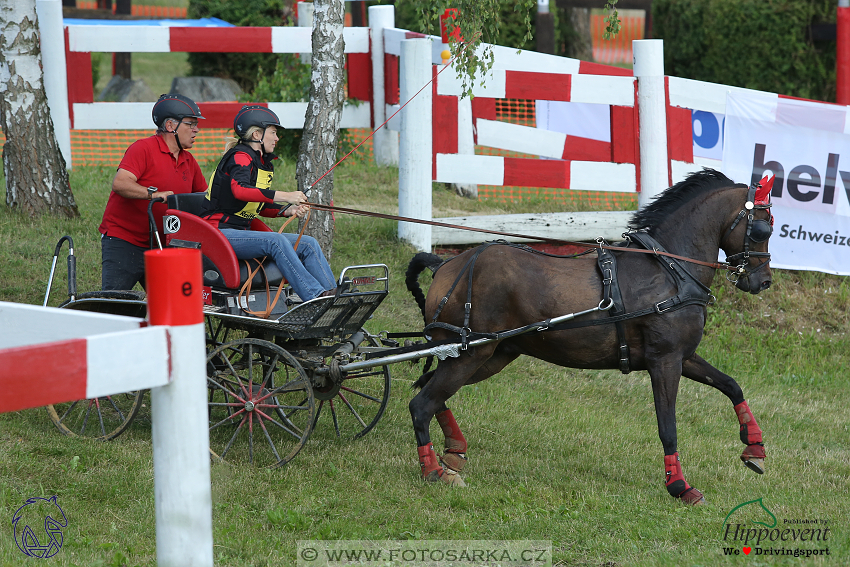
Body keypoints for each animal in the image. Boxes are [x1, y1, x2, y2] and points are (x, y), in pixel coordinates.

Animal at [408, 169, 772, 506]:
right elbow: (668, 427)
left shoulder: (683, 356)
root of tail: (446, 265)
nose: (763, 281)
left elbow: (731, 385)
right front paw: (680, 486)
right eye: (763, 228)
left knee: (429, 388)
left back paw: (453, 452)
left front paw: (754, 445)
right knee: (421, 404)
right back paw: (433, 471)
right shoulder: (664, 360)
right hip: (471, 355)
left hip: (490, 355)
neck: (670, 271)